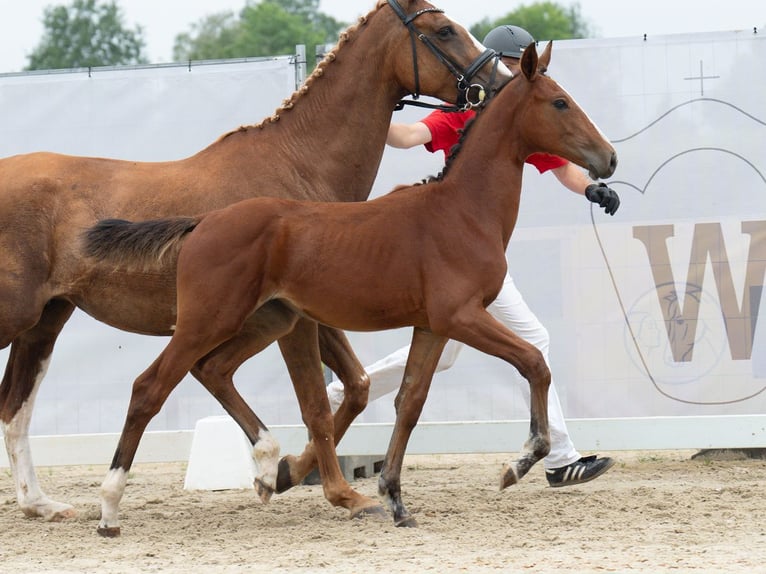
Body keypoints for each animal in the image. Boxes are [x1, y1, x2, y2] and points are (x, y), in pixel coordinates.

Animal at [0, 0, 510, 528]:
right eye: (444, 30)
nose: (501, 79)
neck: (299, 165)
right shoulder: (299, 321)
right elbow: (315, 403)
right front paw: (341, 493)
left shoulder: (308, 313)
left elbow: (355, 387)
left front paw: (282, 473)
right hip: (19, 316)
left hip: (45, 321)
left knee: (14, 408)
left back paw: (40, 503)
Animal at [87, 41, 620, 532]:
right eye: (559, 102)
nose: (609, 159)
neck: (461, 212)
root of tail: (203, 221)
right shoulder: (461, 316)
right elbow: (534, 363)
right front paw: (519, 463)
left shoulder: (432, 327)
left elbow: (409, 403)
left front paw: (395, 499)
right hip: (208, 320)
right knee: (150, 387)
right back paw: (110, 508)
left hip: (269, 321)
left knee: (213, 369)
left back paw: (270, 468)